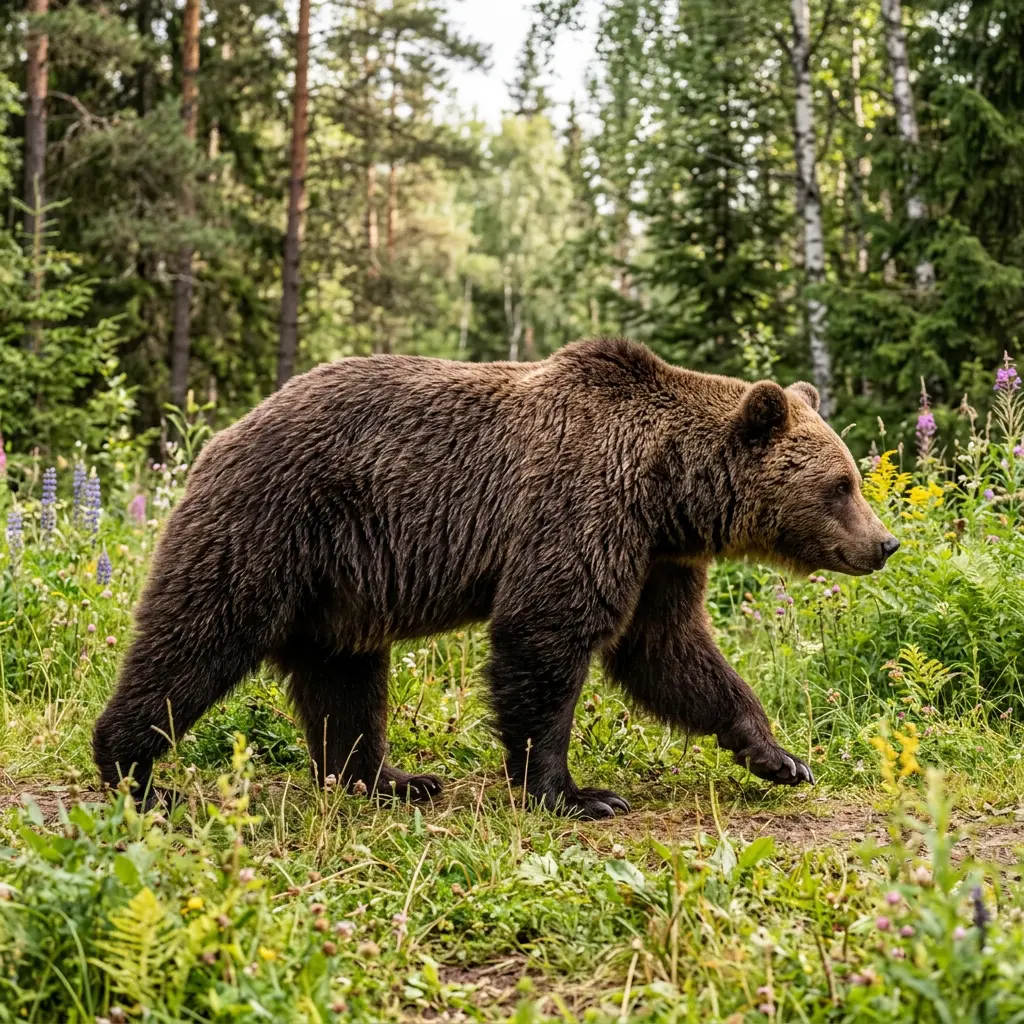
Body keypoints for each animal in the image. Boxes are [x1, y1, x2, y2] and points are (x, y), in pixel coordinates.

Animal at [92, 337, 899, 818]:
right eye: (841, 484)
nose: (885, 543)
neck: (665, 488)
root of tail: (221, 434)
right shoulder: (579, 508)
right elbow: (546, 636)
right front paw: (575, 792)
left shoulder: (657, 558)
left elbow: (670, 651)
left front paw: (778, 756)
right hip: (270, 528)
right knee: (197, 637)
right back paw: (137, 775)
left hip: (338, 587)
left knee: (344, 681)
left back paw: (390, 779)